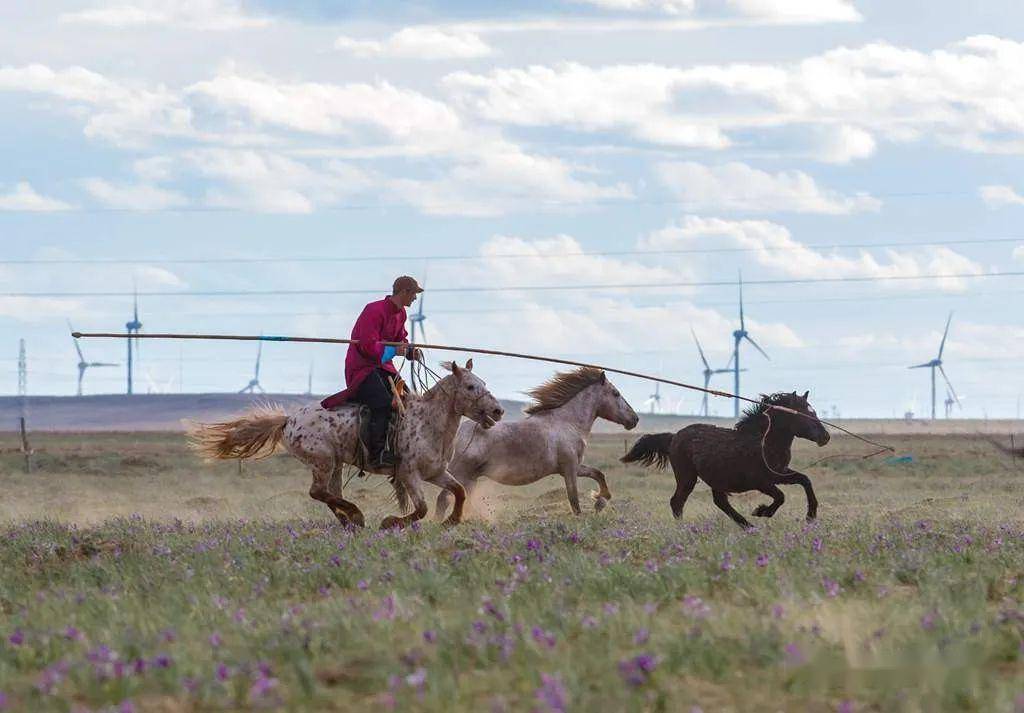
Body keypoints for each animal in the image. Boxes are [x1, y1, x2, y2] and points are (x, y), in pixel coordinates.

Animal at [191, 362, 503, 528]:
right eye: (471, 387)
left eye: (485, 383)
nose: (498, 411)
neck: (428, 422)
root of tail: (289, 420)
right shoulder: (408, 473)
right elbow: (423, 508)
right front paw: (390, 523)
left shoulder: (435, 473)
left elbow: (459, 491)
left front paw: (452, 520)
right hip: (323, 461)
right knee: (319, 492)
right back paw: (355, 514)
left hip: (336, 464)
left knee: (329, 493)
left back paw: (349, 520)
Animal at [434, 366, 638, 518]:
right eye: (616, 393)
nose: (634, 419)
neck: (568, 422)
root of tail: (458, 433)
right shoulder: (569, 468)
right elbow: (574, 500)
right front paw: (593, 507)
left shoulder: (574, 467)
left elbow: (598, 474)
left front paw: (601, 500)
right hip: (460, 473)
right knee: (443, 499)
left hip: (471, 478)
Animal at [618, 389, 827, 528]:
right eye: (804, 414)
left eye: (814, 412)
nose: (825, 437)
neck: (763, 441)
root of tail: (673, 437)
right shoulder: (761, 481)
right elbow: (781, 496)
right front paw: (762, 511)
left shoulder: (779, 474)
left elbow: (805, 480)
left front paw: (811, 516)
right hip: (687, 477)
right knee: (677, 501)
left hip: (714, 479)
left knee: (720, 502)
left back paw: (747, 526)